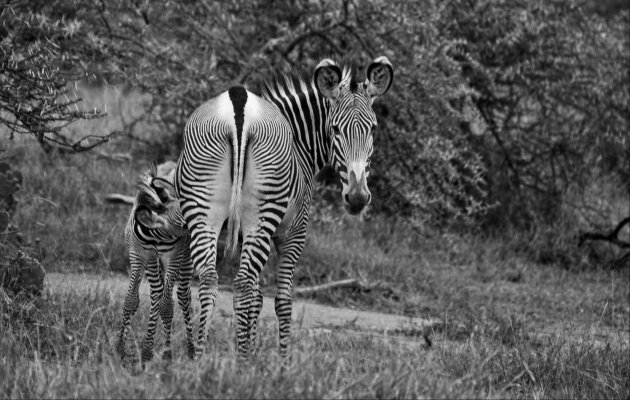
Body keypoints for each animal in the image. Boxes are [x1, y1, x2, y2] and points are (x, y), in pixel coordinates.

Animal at [177, 54, 396, 358]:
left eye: (373, 128)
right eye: (335, 129)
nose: (357, 198)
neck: (298, 139)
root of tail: (238, 107)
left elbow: (257, 298)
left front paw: (251, 349)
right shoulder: (293, 233)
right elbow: (281, 300)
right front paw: (279, 361)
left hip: (202, 212)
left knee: (209, 280)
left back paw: (198, 356)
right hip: (262, 217)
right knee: (242, 285)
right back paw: (241, 364)